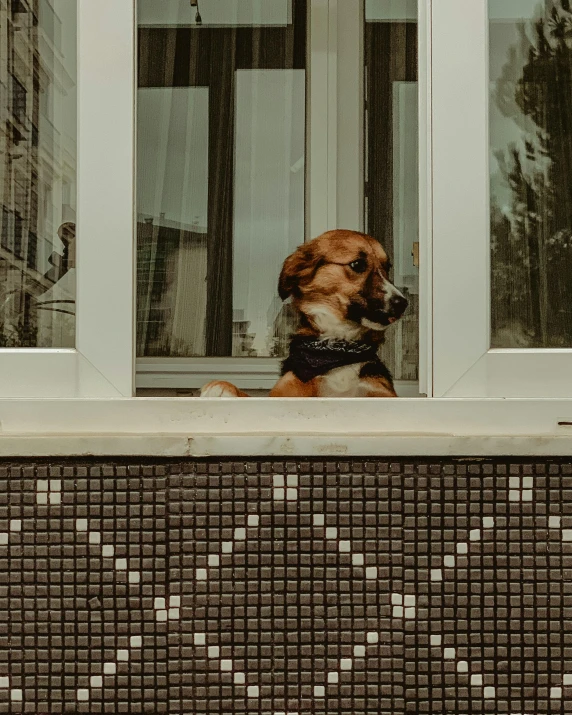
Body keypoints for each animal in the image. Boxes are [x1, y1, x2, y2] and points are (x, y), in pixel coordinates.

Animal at [201, 229, 406, 398]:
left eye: (387, 267)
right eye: (357, 264)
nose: (403, 303)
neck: (338, 347)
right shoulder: (285, 391)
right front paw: (222, 386)